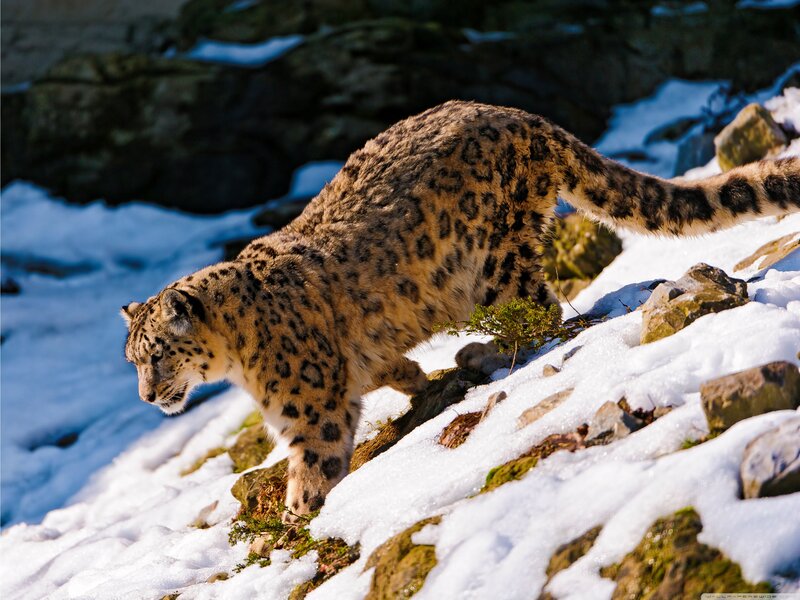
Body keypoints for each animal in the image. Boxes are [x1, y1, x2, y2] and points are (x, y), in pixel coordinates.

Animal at [122, 100, 800, 521]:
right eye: (133, 360)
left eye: (158, 354)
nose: (147, 397)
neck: (238, 359)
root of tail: (520, 116)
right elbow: (384, 366)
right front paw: (412, 379)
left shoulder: (310, 408)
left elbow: (315, 461)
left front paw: (298, 516)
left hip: (496, 262)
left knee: (542, 313)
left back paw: (481, 350)